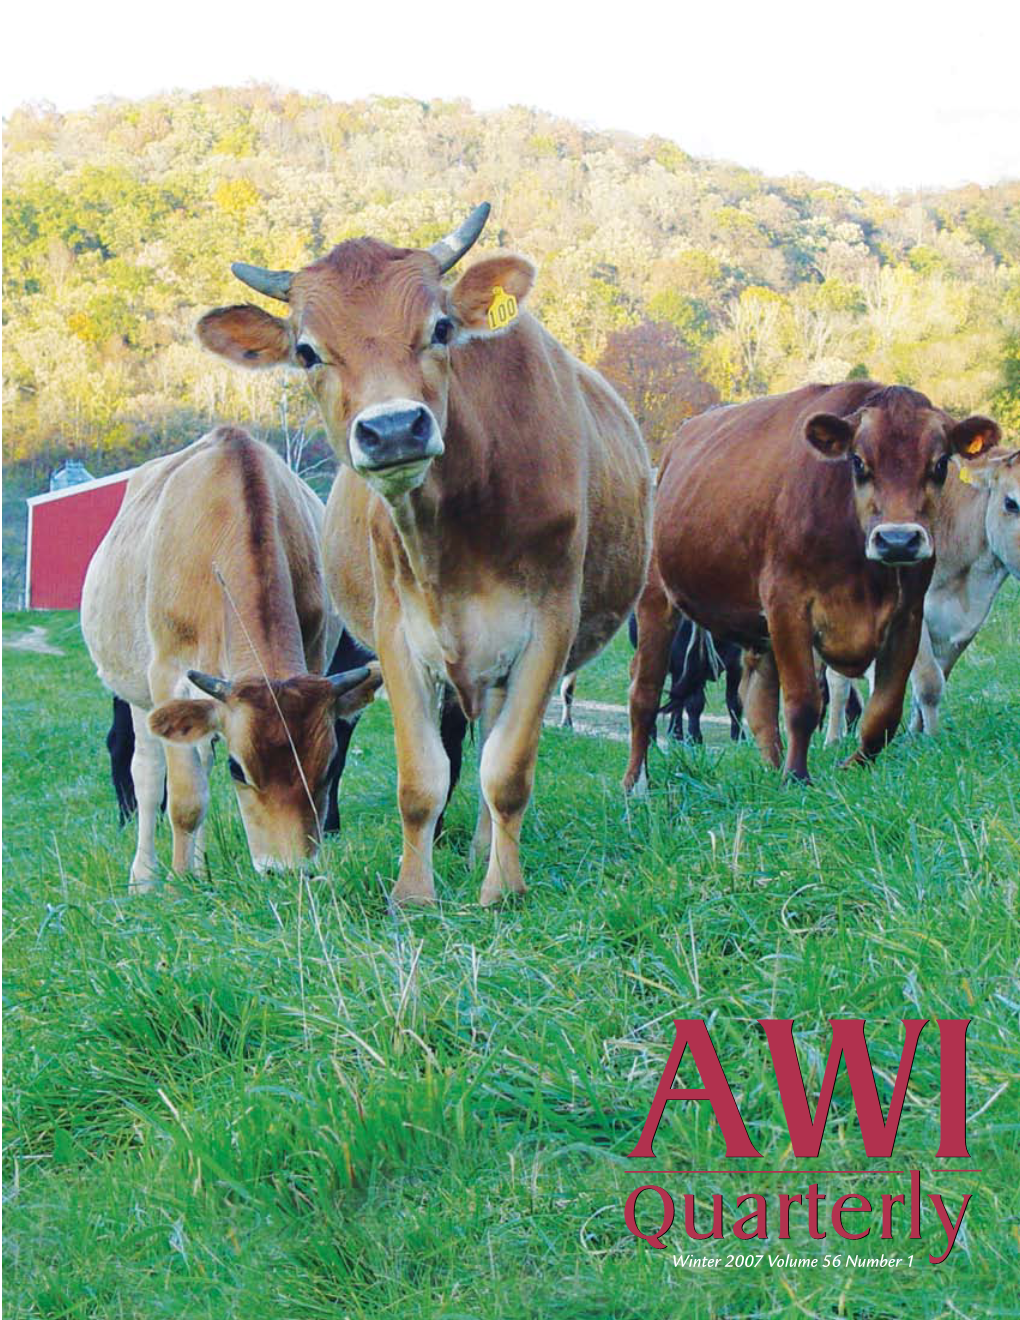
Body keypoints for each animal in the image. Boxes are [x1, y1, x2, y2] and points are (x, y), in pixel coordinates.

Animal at [80, 427, 382, 892]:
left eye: (328, 765)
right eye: (238, 769)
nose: (286, 870)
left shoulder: (314, 658)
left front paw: (193, 871)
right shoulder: (167, 673)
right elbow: (185, 798)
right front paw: (179, 883)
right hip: (133, 691)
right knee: (145, 771)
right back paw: (144, 876)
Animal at [196, 203, 651, 908]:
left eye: (440, 327)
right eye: (306, 351)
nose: (391, 430)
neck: (449, 538)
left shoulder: (550, 624)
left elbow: (507, 772)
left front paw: (503, 889)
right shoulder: (396, 633)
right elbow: (420, 779)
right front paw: (412, 896)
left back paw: (485, 853)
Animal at [625, 385, 997, 786]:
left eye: (941, 463)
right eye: (857, 462)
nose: (898, 540)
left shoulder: (908, 615)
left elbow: (884, 713)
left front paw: (847, 766)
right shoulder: (788, 605)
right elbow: (803, 701)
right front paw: (797, 777)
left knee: (757, 698)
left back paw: (771, 767)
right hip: (655, 599)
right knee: (644, 692)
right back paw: (636, 783)